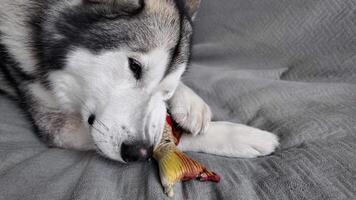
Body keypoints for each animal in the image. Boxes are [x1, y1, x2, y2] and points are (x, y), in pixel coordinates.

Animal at [0, 0, 278, 162]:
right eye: (134, 66)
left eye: (167, 91)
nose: (139, 153)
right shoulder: (59, 126)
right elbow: (170, 138)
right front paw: (240, 137)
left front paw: (190, 103)